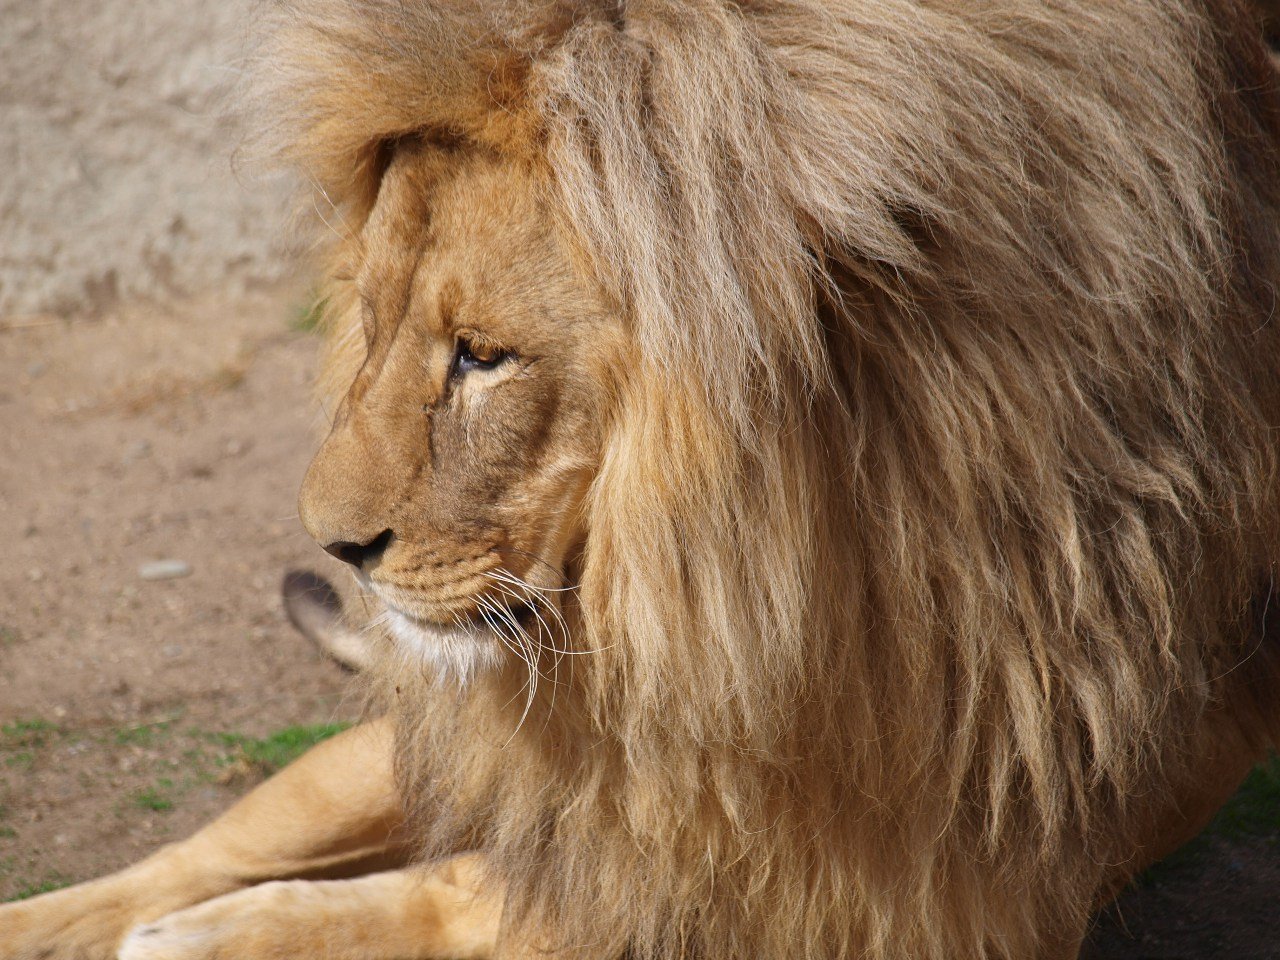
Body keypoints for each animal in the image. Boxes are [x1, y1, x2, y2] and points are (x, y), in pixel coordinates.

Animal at [2, 1, 1280, 960]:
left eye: (482, 356)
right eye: (371, 324)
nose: (336, 547)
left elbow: (456, 897)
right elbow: (438, 890)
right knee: (201, 852)